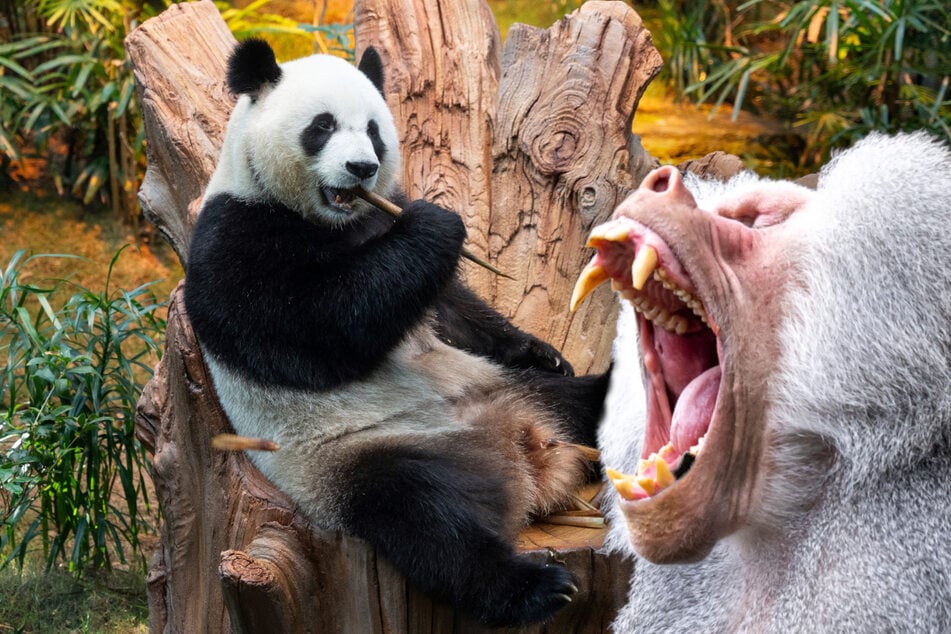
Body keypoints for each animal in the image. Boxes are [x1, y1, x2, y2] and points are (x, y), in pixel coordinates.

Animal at [184, 39, 610, 628]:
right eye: (322, 126)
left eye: (373, 130)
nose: (362, 168)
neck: (333, 220)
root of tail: (524, 456)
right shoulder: (235, 235)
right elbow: (314, 333)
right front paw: (438, 226)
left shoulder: (385, 218)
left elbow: (451, 308)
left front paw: (540, 350)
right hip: (357, 461)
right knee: (429, 522)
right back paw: (535, 587)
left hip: (508, 389)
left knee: (594, 402)